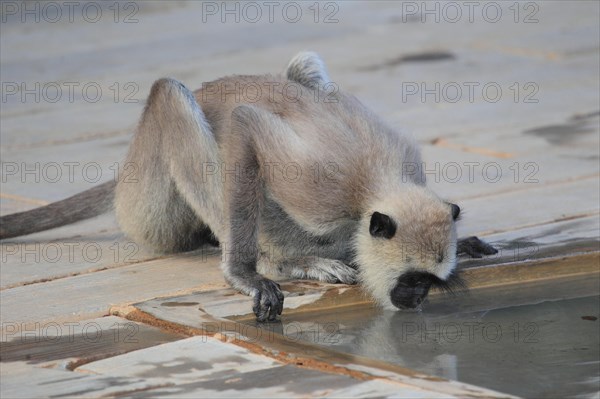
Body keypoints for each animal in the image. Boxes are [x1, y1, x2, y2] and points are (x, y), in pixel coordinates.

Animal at [0, 52, 496, 322]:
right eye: (412, 278)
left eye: (430, 282)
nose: (416, 297)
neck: (378, 185)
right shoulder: (322, 189)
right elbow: (245, 126)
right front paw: (246, 274)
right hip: (147, 202)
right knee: (171, 95)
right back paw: (282, 262)